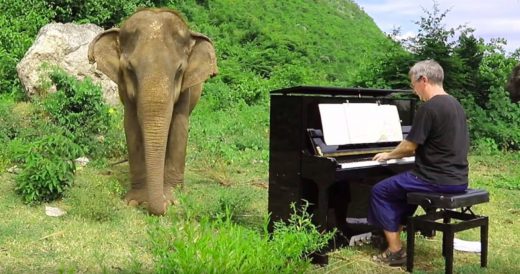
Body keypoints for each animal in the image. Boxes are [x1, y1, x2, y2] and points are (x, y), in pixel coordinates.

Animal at [89, 8, 217, 214]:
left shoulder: (185, 91)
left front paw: (173, 199)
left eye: (179, 70)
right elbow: (131, 127)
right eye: (129, 69)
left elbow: (180, 127)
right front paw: (136, 201)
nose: (162, 205)